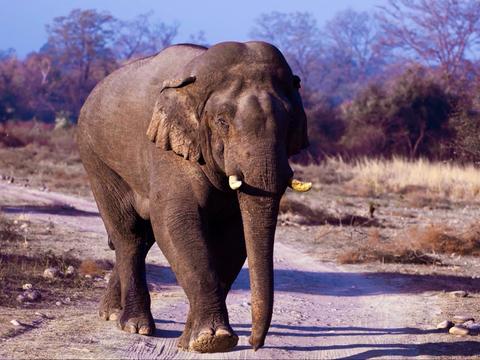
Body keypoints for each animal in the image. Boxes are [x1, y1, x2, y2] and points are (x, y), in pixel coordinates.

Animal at [76, 40, 312, 352]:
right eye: (222, 122)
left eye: (289, 123)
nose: (254, 343)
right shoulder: (167, 149)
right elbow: (176, 222)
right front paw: (214, 340)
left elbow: (234, 234)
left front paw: (193, 340)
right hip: (97, 159)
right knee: (129, 234)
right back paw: (134, 326)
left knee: (143, 237)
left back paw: (112, 314)